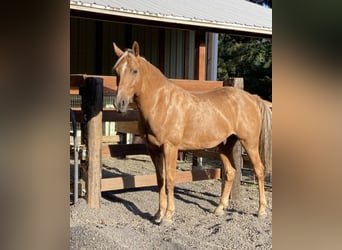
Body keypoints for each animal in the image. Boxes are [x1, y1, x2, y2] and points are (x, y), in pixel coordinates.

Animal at [112, 41, 272, 225]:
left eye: (134, 70)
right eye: (116, 71)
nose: (120, 103)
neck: (161, 103)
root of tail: (252, 98)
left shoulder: (170, 148)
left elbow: (170, 179)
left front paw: (168, 216)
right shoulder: (154, 150)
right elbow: (160, 180)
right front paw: (158, 214)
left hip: (249, 143)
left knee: (259, 170)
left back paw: (261, 210)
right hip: (225, 145)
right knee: (231, 172)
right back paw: (219, 208)